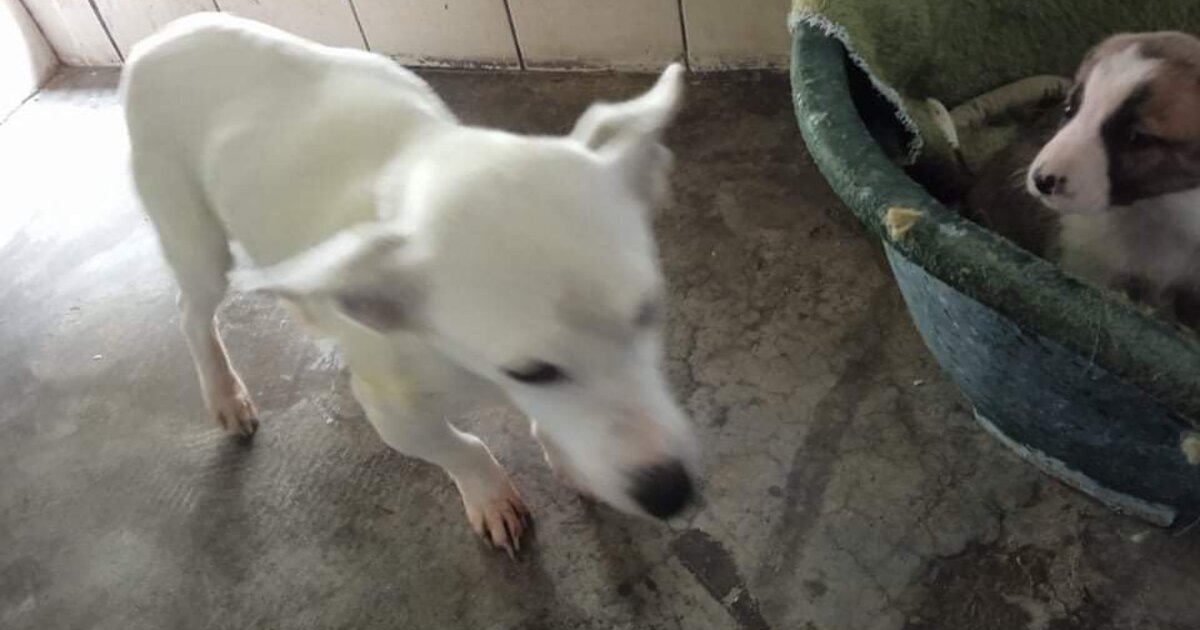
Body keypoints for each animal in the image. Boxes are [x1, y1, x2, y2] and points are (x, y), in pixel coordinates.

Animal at [121, 13, 700, 555]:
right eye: (529, 370)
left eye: (650, 312)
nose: (673, 493)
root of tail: (165, 34)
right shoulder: (396, 415)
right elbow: (460, 449)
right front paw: (490, 496)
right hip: (195, 241)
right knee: (192, 312)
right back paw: (224, 393)